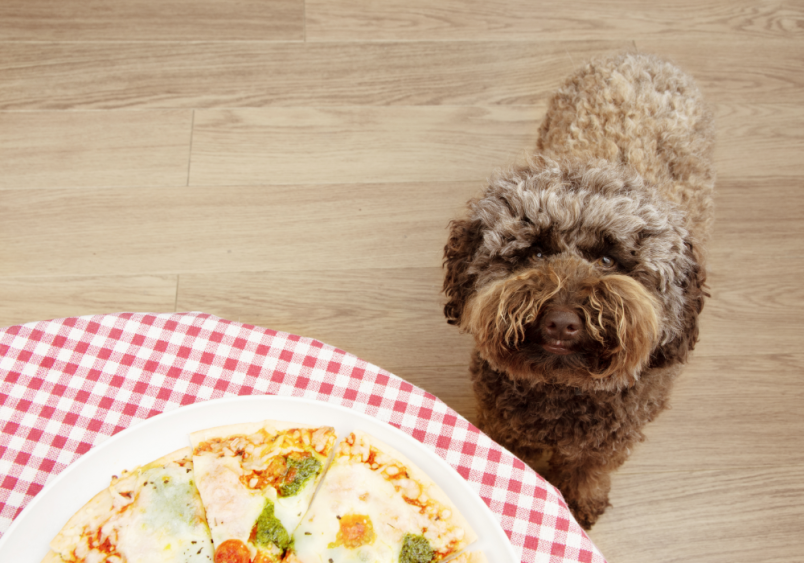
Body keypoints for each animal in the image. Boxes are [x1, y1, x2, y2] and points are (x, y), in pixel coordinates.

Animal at [446, 53, 716, 528]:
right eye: (535, 252)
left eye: (609, 260)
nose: (561, 322)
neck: (562, 390)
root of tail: (640, 56)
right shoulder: (504, 424)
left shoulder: (608, 439)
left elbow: (588, 468)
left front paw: (580, 502)